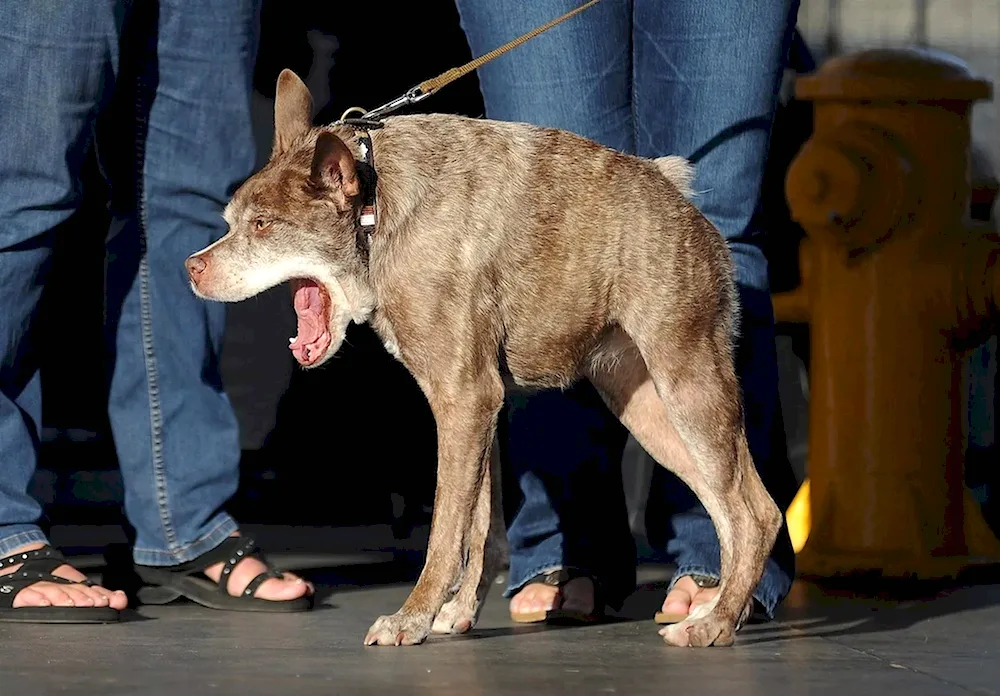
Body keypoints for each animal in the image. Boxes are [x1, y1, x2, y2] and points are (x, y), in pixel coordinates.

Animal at [186, 69, 780, 648]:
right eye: (231, 221)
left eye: (262, 225)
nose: (193, 267)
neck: (376, 212)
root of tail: (680, 197)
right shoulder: (475, 408)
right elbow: (479, 527)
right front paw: (457, 613)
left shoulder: (464, 400)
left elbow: (444, 532)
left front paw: (410, 619)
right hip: (648, 409)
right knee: (732, 511)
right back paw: (717, 607)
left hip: (688, 386)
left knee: (756, 515)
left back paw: (714, 623)